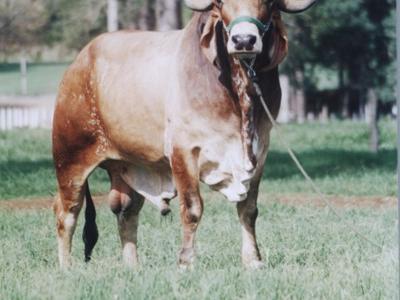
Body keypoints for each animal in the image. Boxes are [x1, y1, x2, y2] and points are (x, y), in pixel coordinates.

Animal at [52, 0, 316, 268]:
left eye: (269, 3)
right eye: (222, 3)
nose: (244, 40)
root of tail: (79, 63)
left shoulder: (258, 153)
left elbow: (248, 209)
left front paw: (253, 261)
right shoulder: (184, 152)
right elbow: (192, 209)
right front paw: (186, 262)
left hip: (128, 166)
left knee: (126, 212)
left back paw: (132, 266)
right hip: (70, 160)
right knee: (67, 212)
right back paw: (67, 267)